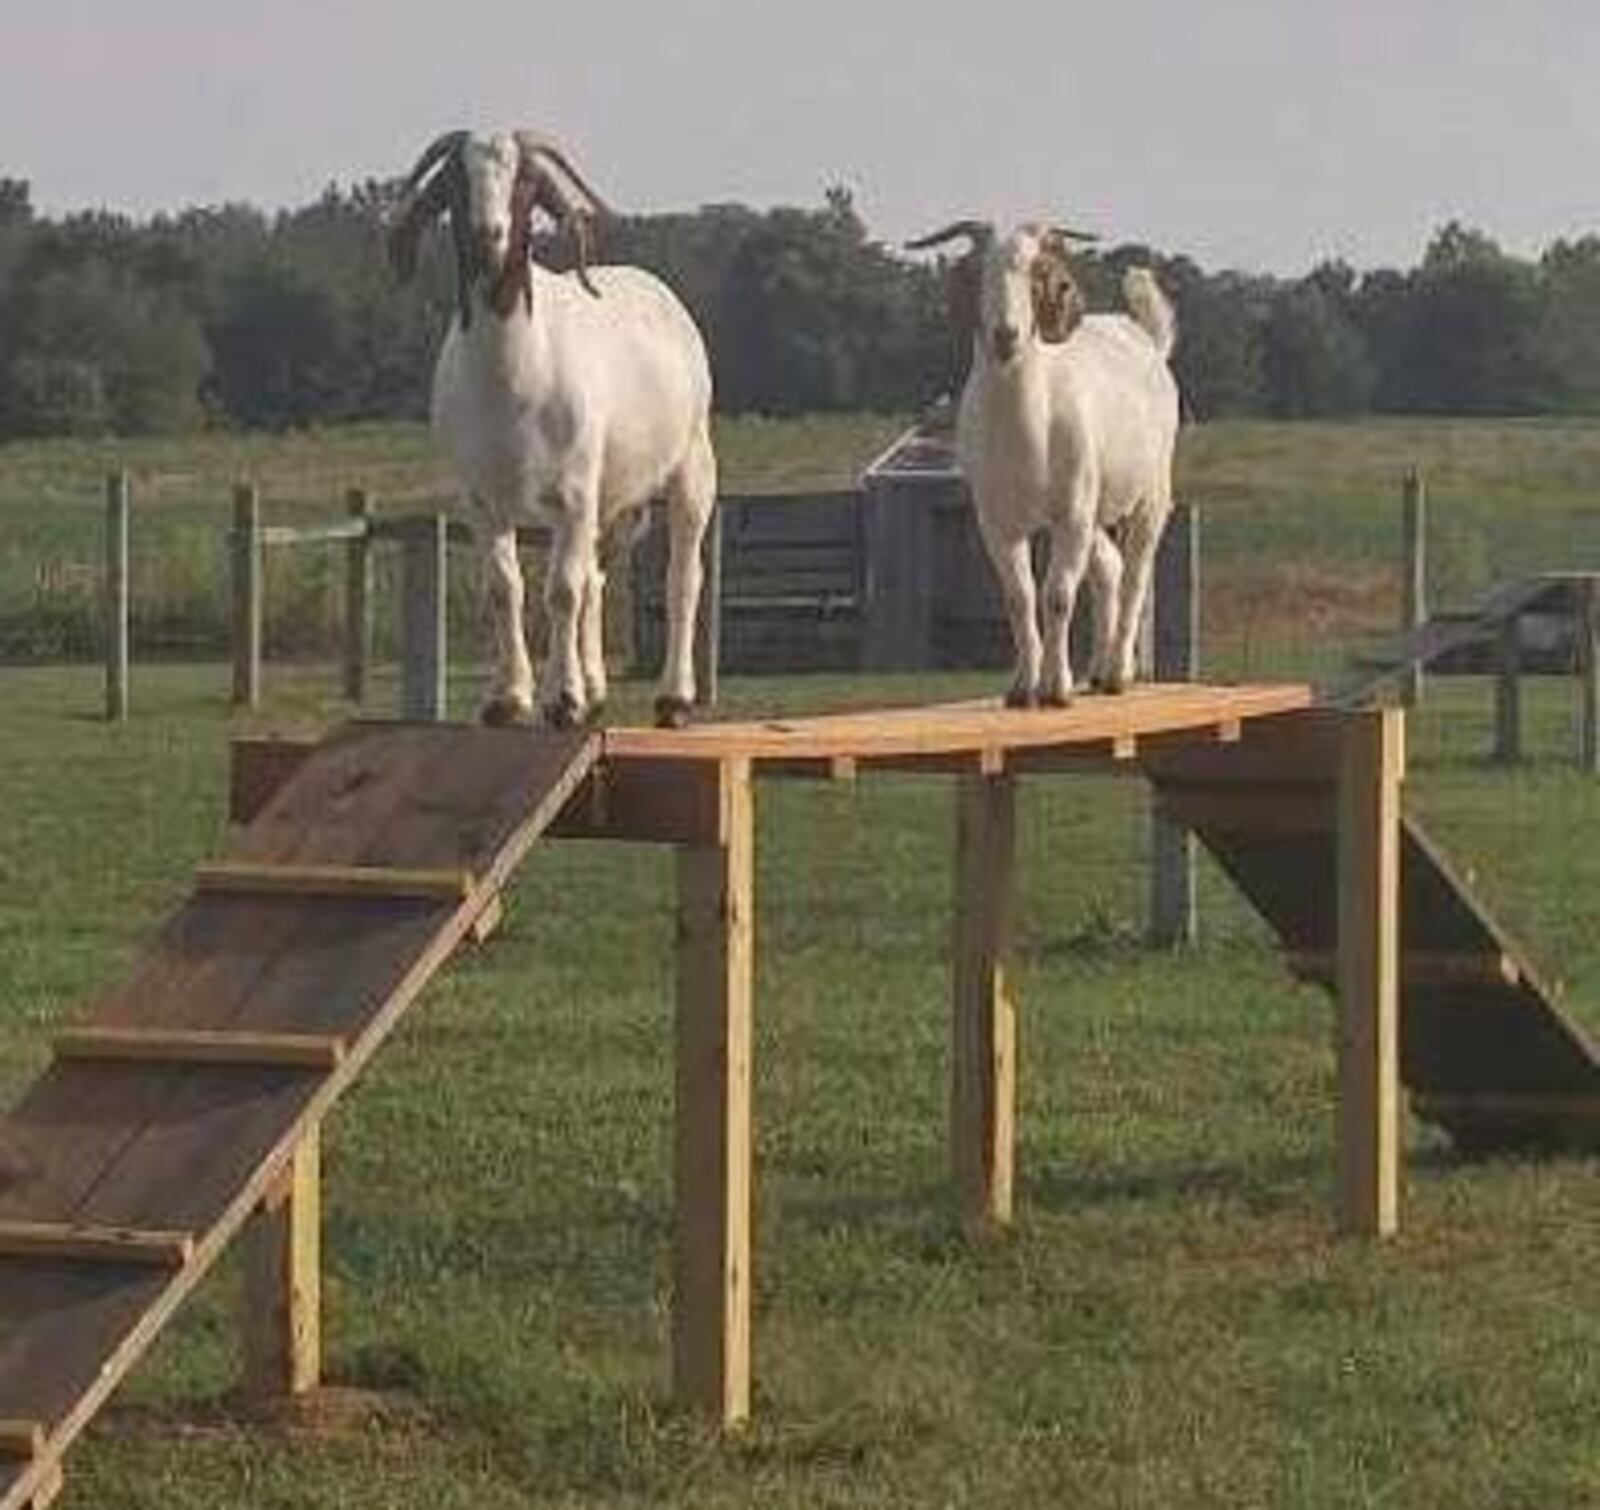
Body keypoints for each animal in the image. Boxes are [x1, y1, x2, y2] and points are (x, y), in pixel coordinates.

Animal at [387, 127, 713, 729]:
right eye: (454, 180)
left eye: (527, 182)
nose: (487, 236)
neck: (513, 376)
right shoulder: (480, 499)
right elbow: (504, 588)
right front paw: (510, 698)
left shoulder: (573, 493)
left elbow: (560, 589)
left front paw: (561, 698)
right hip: (613, 500)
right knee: (597, 578)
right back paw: (597, 689)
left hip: (692, 464)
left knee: (683, 575)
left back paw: (673, 698)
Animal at [908, 220, 1184, 703]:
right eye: (979, 274)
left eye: (1036, 277)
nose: (1006, 335)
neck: (1026, 434)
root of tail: (1148, 341)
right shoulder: (997, 521)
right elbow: (1019, 598)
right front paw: (1023, 687)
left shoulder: (1070, 516)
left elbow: (1057, 596)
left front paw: (1056, 688)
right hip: (1094, 509)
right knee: (1110, 568)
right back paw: (1097, 672)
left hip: (1149, 493)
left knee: (1136, 573)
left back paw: (1118, 672)